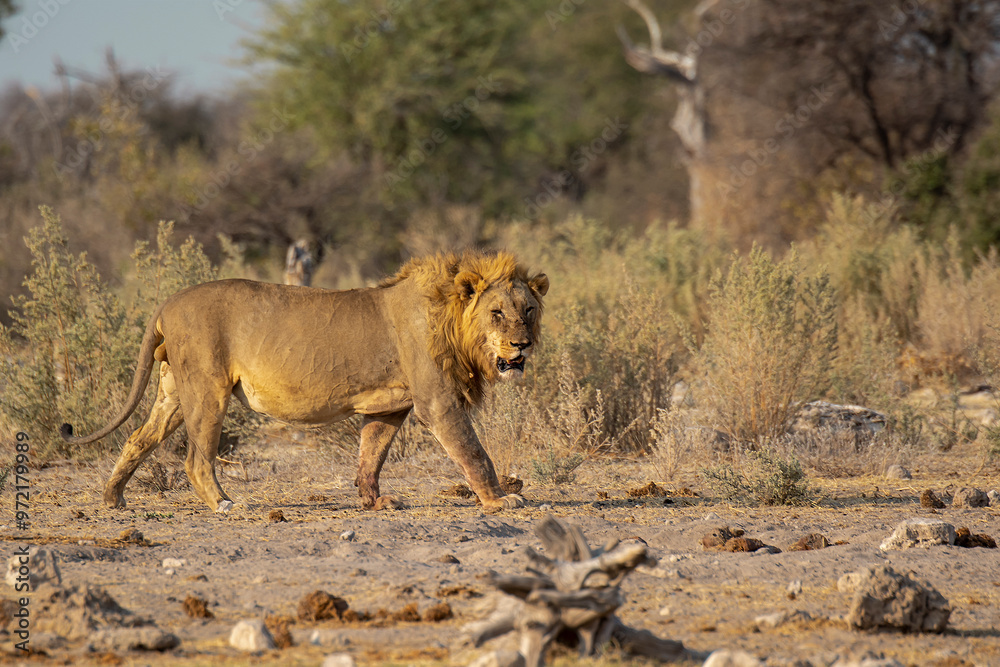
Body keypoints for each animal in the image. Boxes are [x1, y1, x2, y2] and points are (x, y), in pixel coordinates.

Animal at [60, 249, 549, 513]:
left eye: (528, 310)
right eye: (496, 313)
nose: (522, 345)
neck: (450, 321)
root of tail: (167, 301)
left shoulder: (390, 406)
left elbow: (371, 456)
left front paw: (374, 503)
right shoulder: (438, 403)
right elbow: (474, 452)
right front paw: (502, 501)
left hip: (174, 392)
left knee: (138, 438)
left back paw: (113, 498)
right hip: (207, 389)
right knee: (196, 459)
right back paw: (224, 503)